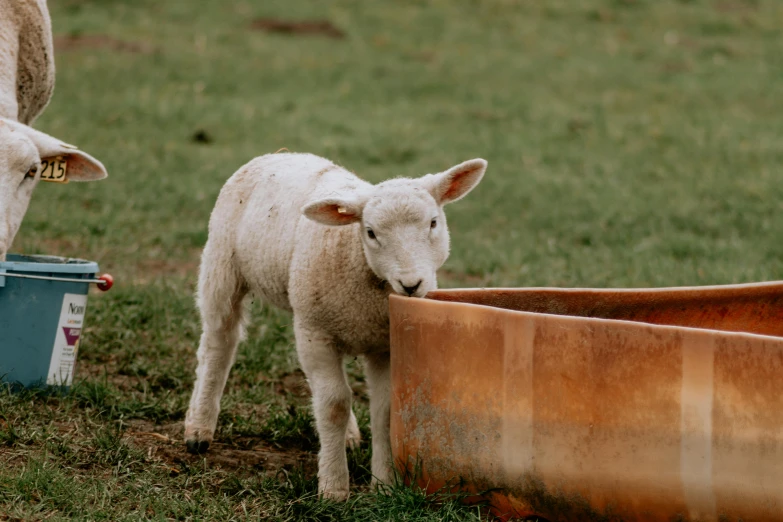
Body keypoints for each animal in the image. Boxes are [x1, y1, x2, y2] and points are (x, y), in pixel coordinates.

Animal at [186, 152, 486, 498]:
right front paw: (333, 488)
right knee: (218, 343)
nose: (411, 284)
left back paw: (350, 437)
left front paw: (384, 485)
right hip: (222, 267)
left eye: (434, 223)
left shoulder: (384, 343)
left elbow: (384, 410)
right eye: (370, 232)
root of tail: (281, 153)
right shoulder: (317, 333)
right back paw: (198, 428)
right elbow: (333, 406)